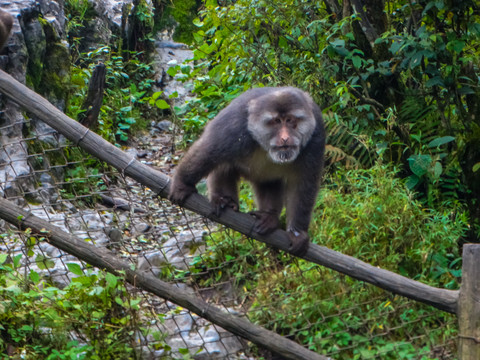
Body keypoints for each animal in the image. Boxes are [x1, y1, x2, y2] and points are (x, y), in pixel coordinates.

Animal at [170, 86, 326, 256]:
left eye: (290, 120)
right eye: (277, 121)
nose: (285, 138)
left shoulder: (315, 136)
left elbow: (303, 183)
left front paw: (297, 233)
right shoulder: (235, 128)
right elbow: (209, 150)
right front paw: (181, 184)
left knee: (269, 182)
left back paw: (269, 216)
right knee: (223, 163)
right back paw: (224, 199)